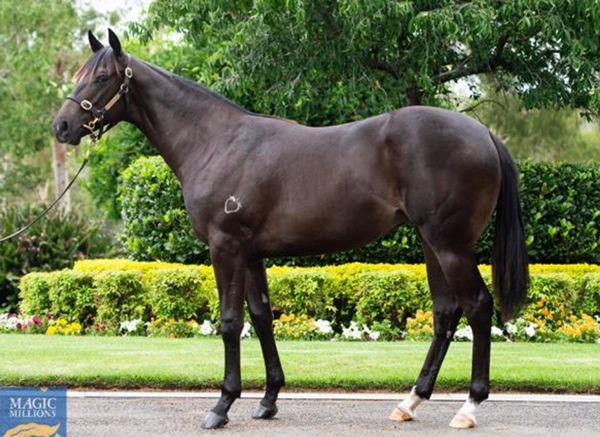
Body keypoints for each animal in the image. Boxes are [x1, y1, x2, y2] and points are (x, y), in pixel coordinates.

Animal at [54, 31, 528, 430]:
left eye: (101, 77)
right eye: (78, 74)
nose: (61, 126)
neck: (216, 142)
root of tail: (484, 133)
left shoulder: (226, 247)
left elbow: (230, 322)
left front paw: (222, 406)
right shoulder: (251, 253)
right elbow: (262, 318)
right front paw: (268, 400)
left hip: (451, 245)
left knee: (478, 307)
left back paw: (469, 407)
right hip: (431, 242)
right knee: (446, 312)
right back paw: (410, 401)